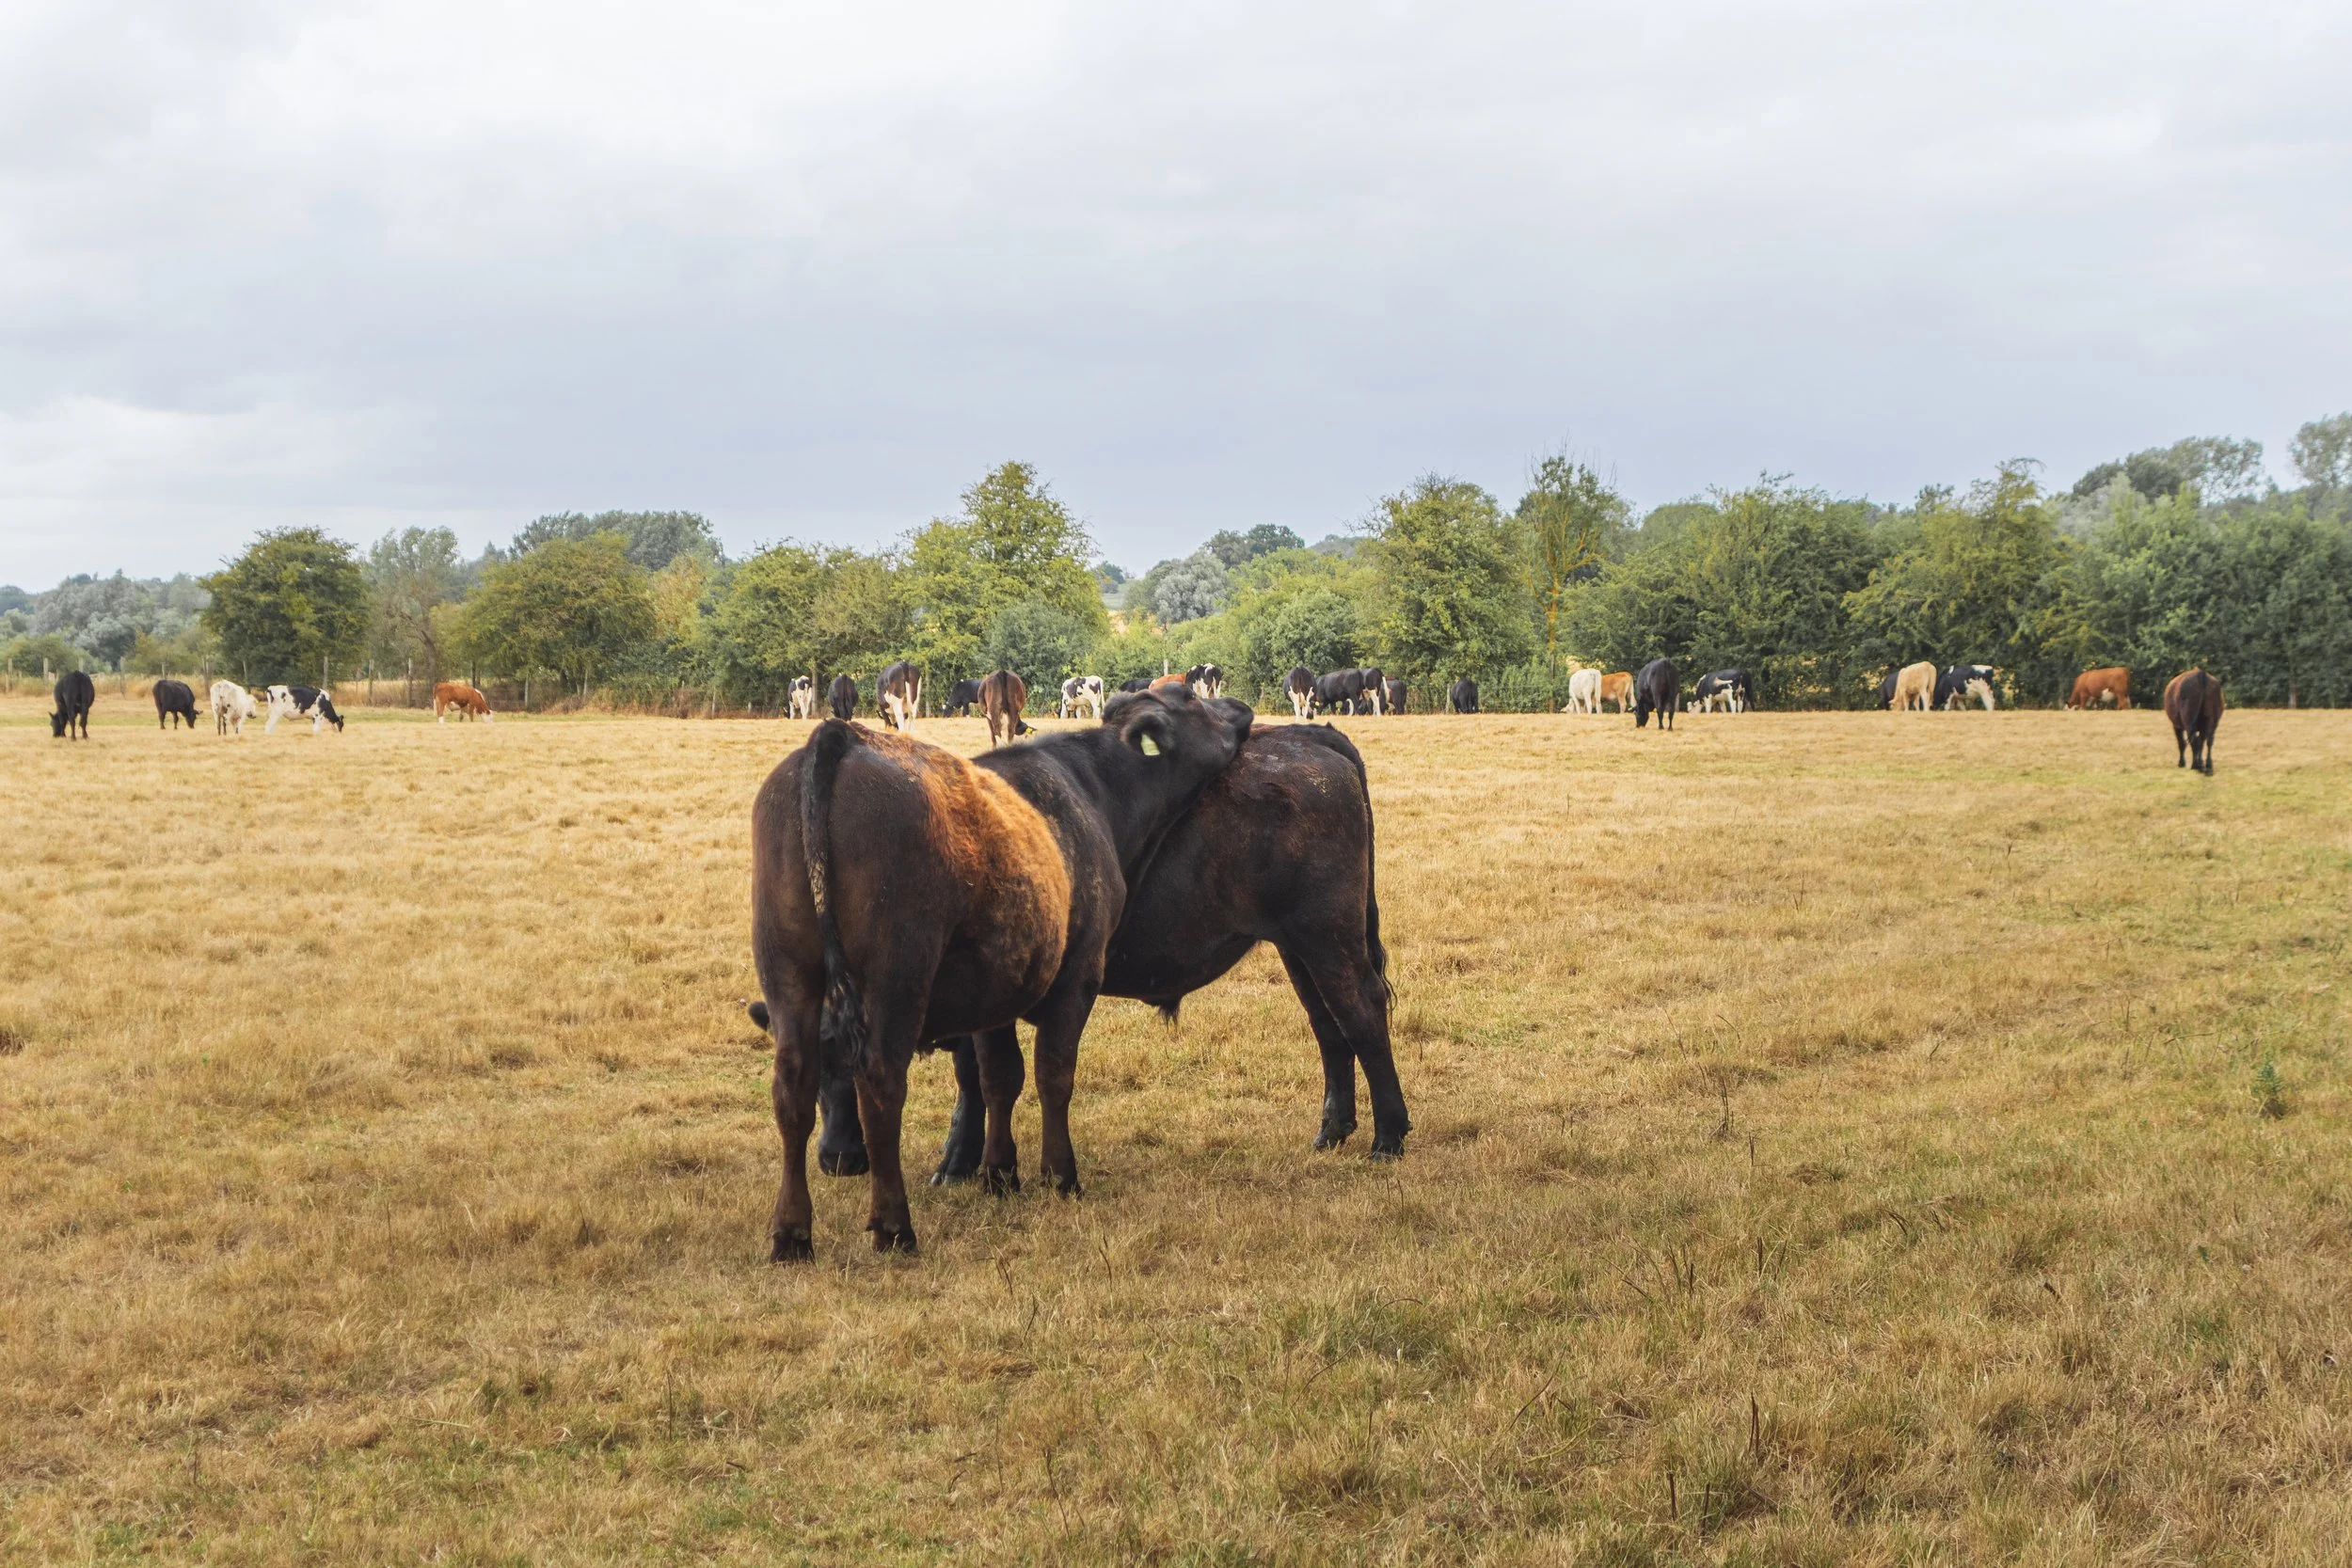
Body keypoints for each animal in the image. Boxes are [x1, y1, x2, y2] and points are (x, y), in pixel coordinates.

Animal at [746, 684, 1252, 1256]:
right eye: (1189, 697)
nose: (1239, 710)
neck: (1094, 789)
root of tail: (842, 738)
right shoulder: (1077, 978)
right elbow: (1054, 1075)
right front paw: (1059, 1174)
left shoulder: (993, 988)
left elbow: (997, 1078)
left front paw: (998, 1173)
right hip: (895, 977)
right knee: (880, 1084)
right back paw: (894, 1226)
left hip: (788, 974)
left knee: (792, 1087)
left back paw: (792, 1235)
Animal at [799, 722, 1411, 1182]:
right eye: (817, 1060)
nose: (837, 1159)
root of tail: (1304, 736)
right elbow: (979, 1074)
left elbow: (976, 1076)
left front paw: (959, 1162)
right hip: (1298, 947)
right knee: (1329, 1025)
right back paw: (1333, 1131)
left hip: (1328, 936)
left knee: (1362, 1013)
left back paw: (1388, 1137)